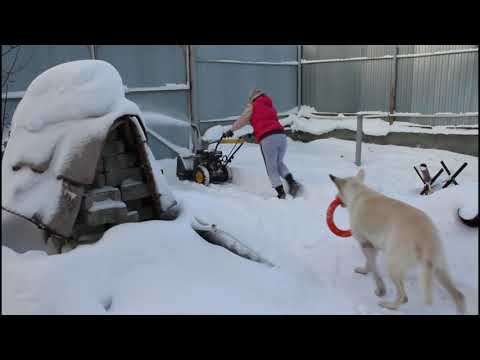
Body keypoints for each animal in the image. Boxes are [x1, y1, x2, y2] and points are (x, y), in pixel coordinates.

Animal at [330, 170, 464, 314]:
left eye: (337, 192)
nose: (335, 198)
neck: (359, 192)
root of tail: (425, 235)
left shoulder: (366, 244)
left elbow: (374, 269)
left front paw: (380, 288)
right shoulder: (372, 246)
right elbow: (370, 264)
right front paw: (365, 271)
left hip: (393, 265)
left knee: (403, 297)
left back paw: (388, 305)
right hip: (438, 267)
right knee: (459, 296)